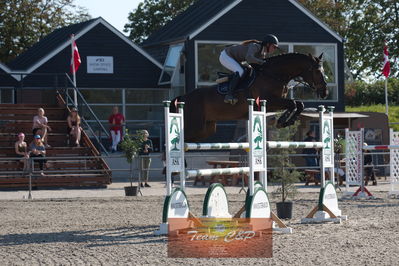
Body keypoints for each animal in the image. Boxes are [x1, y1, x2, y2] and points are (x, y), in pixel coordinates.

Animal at [173, 52, 330, 142]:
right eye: (317, 71)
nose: (325, 92)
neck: (273, 74)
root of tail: (182, 98)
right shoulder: (269, 101)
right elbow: (293, 103)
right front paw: (282, 121)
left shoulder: (274, 103)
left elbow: (298, 104)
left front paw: (286, 121)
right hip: (195, 126)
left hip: (206, 129)